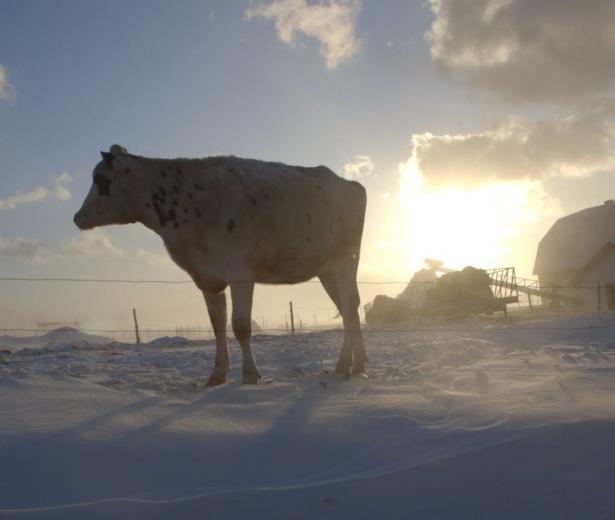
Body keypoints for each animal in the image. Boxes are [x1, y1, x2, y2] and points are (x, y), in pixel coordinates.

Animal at [74, 144, 368, 384]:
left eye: (100, 179)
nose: (77, 217)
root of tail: (349, 183)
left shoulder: (240, 271)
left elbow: (240, 325)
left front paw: (250, 375)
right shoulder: (207, 277)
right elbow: (217, 326)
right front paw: (216, 375)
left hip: (345, 259)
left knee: (349, 306)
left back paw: (348, 364)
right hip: (326, 268)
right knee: (348, 308)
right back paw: (355, 364)